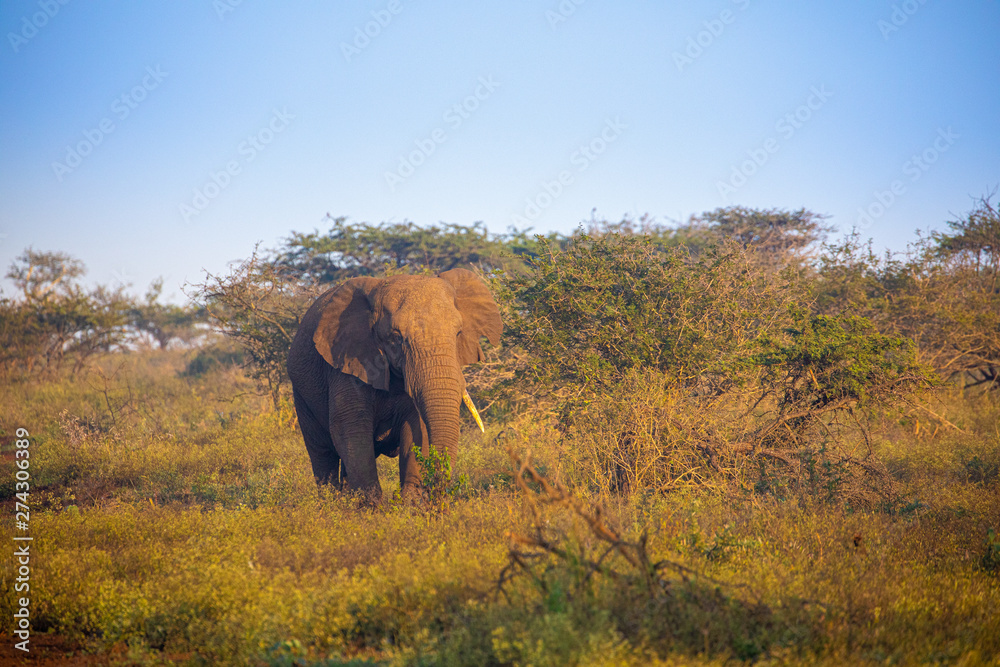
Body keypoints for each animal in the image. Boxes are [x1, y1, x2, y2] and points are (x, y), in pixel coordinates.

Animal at [286, 268, 502, 499]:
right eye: (396, 337)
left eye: (459, 333)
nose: (433, 493)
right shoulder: (345, 361)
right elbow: (350, 427)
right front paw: (372, 505)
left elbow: (418, 428)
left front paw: (410, 503)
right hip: (301, 394)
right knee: (322, 452)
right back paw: (331, 500)